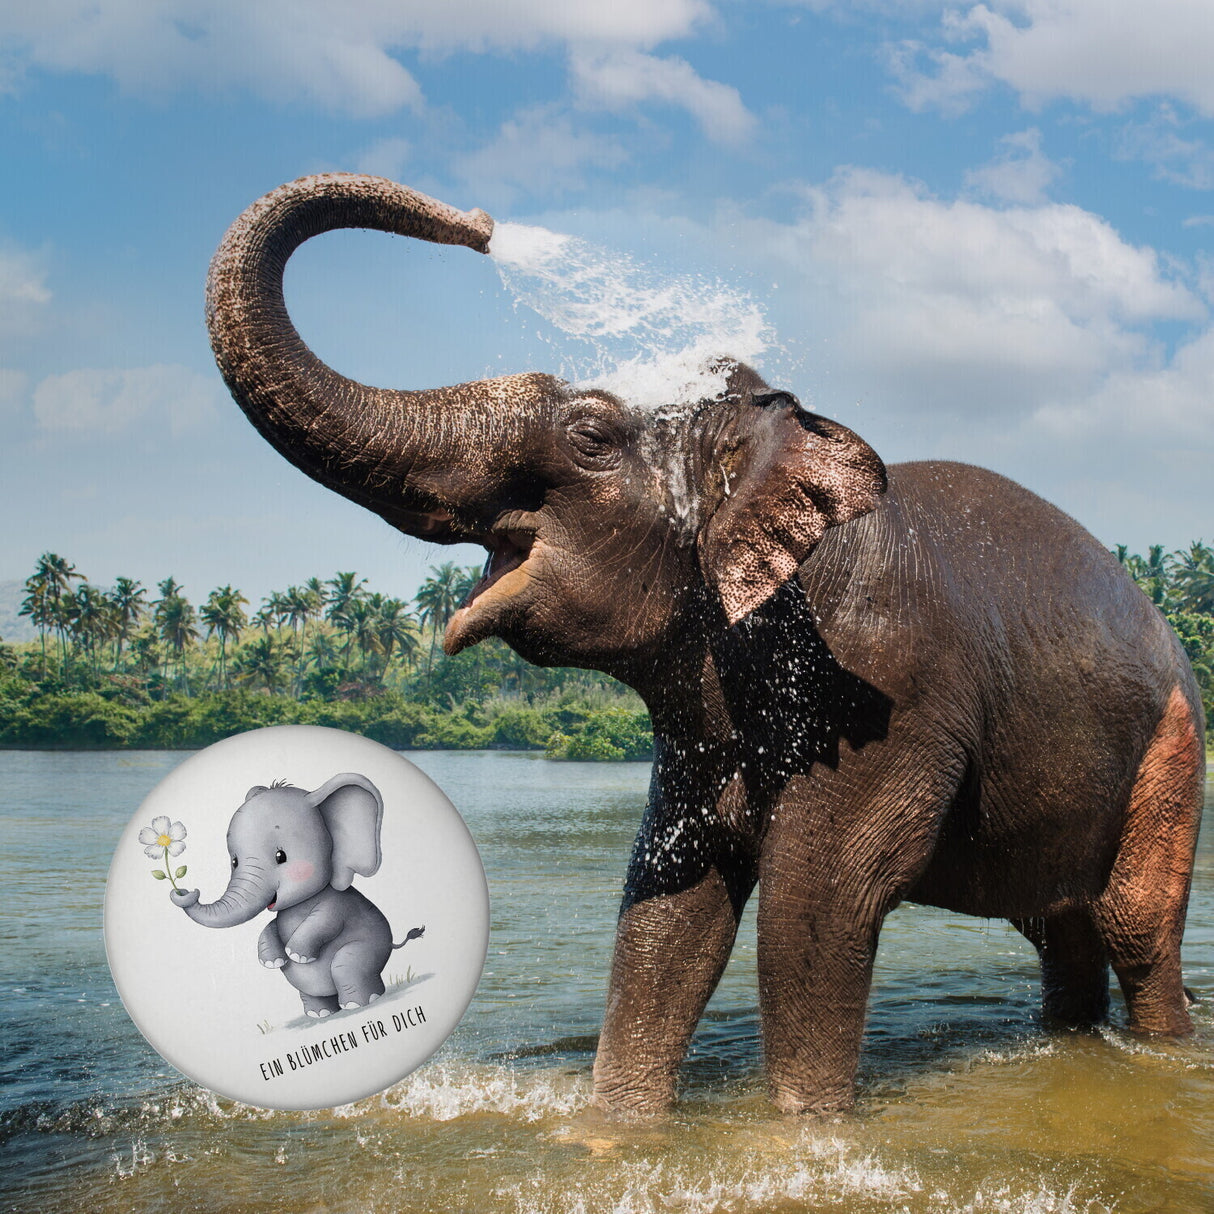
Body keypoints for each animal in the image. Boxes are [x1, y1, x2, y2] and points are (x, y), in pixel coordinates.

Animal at [170, 773, 424, 1018]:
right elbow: (271, 926)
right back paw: (320, 1014)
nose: (186, 891)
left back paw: (359, 1004)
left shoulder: (336, 905)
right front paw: (272, 961)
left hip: (369, 950)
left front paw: (296, 954)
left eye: (281, 856)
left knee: (346, 964)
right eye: (234, 862)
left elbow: (323, 921)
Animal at [204, 173, 1205, 1113]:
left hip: (1175, 746)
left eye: (590, 435)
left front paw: (802, 1129)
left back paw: (1162, 1045)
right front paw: (616, 1126)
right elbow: (671, 904)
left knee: (1133, 928)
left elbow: (820, 902)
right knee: (1060, 926)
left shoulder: (885, 684)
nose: (480, 223)